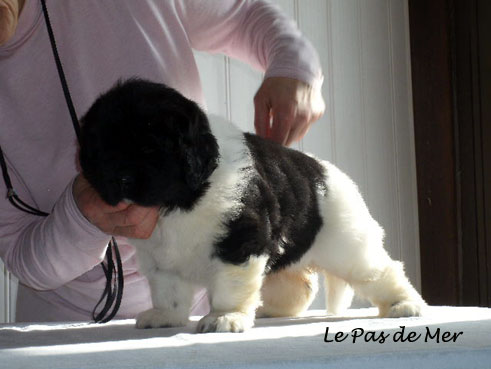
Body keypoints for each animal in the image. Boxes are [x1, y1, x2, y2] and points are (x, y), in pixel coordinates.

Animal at [80, 79, 426, 332]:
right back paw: (271, 310)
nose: (119, 179)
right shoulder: (160, 259)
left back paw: (403, 304)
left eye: (150, 149)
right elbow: (169, 291)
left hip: (349, 245)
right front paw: (166, 316)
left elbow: (229, 287)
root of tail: (326, 172)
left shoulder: (240, 242)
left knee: (382, 271)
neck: (183, 201)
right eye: (101, 152)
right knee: (300, 286)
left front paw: (226, 317)